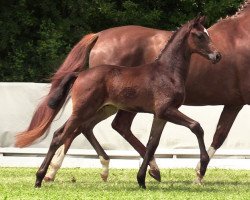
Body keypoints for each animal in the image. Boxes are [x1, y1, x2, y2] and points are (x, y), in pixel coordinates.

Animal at [16, 0, 249, 184]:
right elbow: (203, 130)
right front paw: (199, 171)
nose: (217, 56)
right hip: (92, 107)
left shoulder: (168, 112)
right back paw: (48, 174)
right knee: (71, 131)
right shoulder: (173, 109)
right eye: (200, 35)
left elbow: (158, 141)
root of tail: (98, 35)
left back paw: (116, 169)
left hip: (107, 107)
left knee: (91, 127)